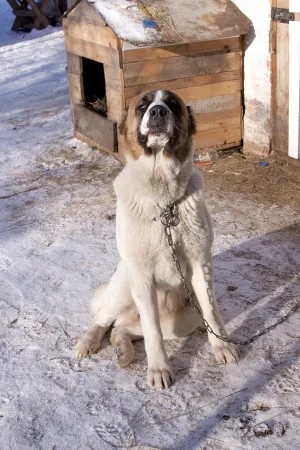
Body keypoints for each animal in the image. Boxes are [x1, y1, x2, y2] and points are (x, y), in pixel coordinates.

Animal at [76, 89, 240, 388]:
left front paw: (221, 346)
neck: (164, 202)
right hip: (124, 284)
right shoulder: (141, 276)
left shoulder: (201, 264)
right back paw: (88, 341)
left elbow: (211, 311)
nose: (158, 112)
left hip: (184, 319)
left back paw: (123, 351)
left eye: (172, 103)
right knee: (103, 318)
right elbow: (152, 331)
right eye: (142, 106)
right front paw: (159, 369)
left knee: (121, 328)